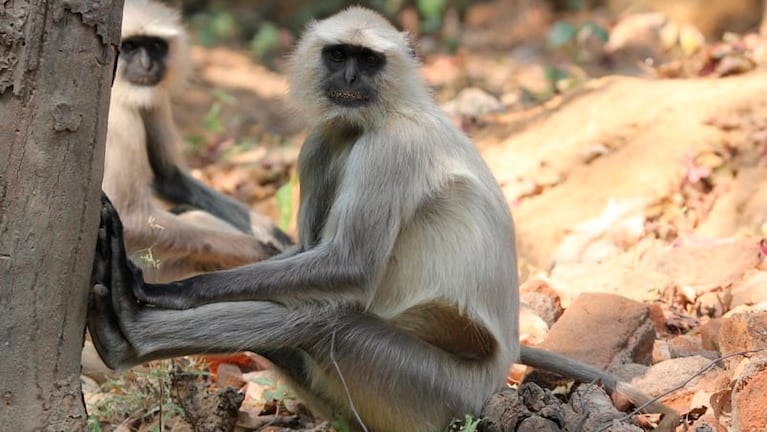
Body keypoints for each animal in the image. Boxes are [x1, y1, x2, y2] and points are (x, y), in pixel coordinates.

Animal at [103, 0, 292, 284]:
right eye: (129, 47)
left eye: (155, 46)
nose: (147, 66)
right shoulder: (118, 117)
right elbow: (130, 214)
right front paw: (265, 251)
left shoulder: (151, 98)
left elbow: (168, 177)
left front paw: (277, 236)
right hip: (149, 266)